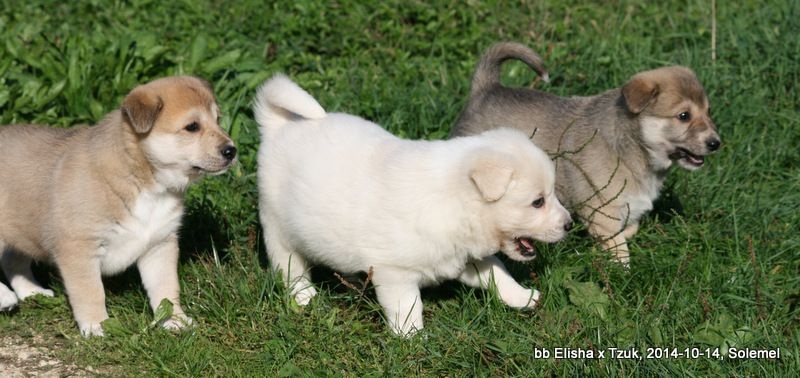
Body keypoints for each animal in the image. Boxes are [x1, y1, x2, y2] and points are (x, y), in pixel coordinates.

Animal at [0, 75, 238, 336]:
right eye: (192, 127)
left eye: (218, 120)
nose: (232, 150)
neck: (145, 181)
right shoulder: (80, 248)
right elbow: (91, 292)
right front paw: (96, 326)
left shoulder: (159, 244)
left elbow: (166, 288)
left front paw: (175, 321)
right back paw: (5, 298)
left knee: (13, 261)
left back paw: (32, 292)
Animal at [253, 75, 572, 336]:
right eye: (537, 202)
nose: (569, 224)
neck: (453, 203)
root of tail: (279, 126)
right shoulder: (396, 273)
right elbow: (407, 307)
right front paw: (413, 341)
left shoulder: (464, 257)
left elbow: (497, 273)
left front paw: (523, 297)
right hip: (278, 228)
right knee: (289, 266)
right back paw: (304, 295)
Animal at [454, 42, 720, 266]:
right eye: (684, 116)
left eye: (708, 112)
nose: (716, 143)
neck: (633, 147)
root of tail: (486, 88)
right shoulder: (604, 213)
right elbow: (620, 250)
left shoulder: (627, 211)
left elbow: (627, 232)